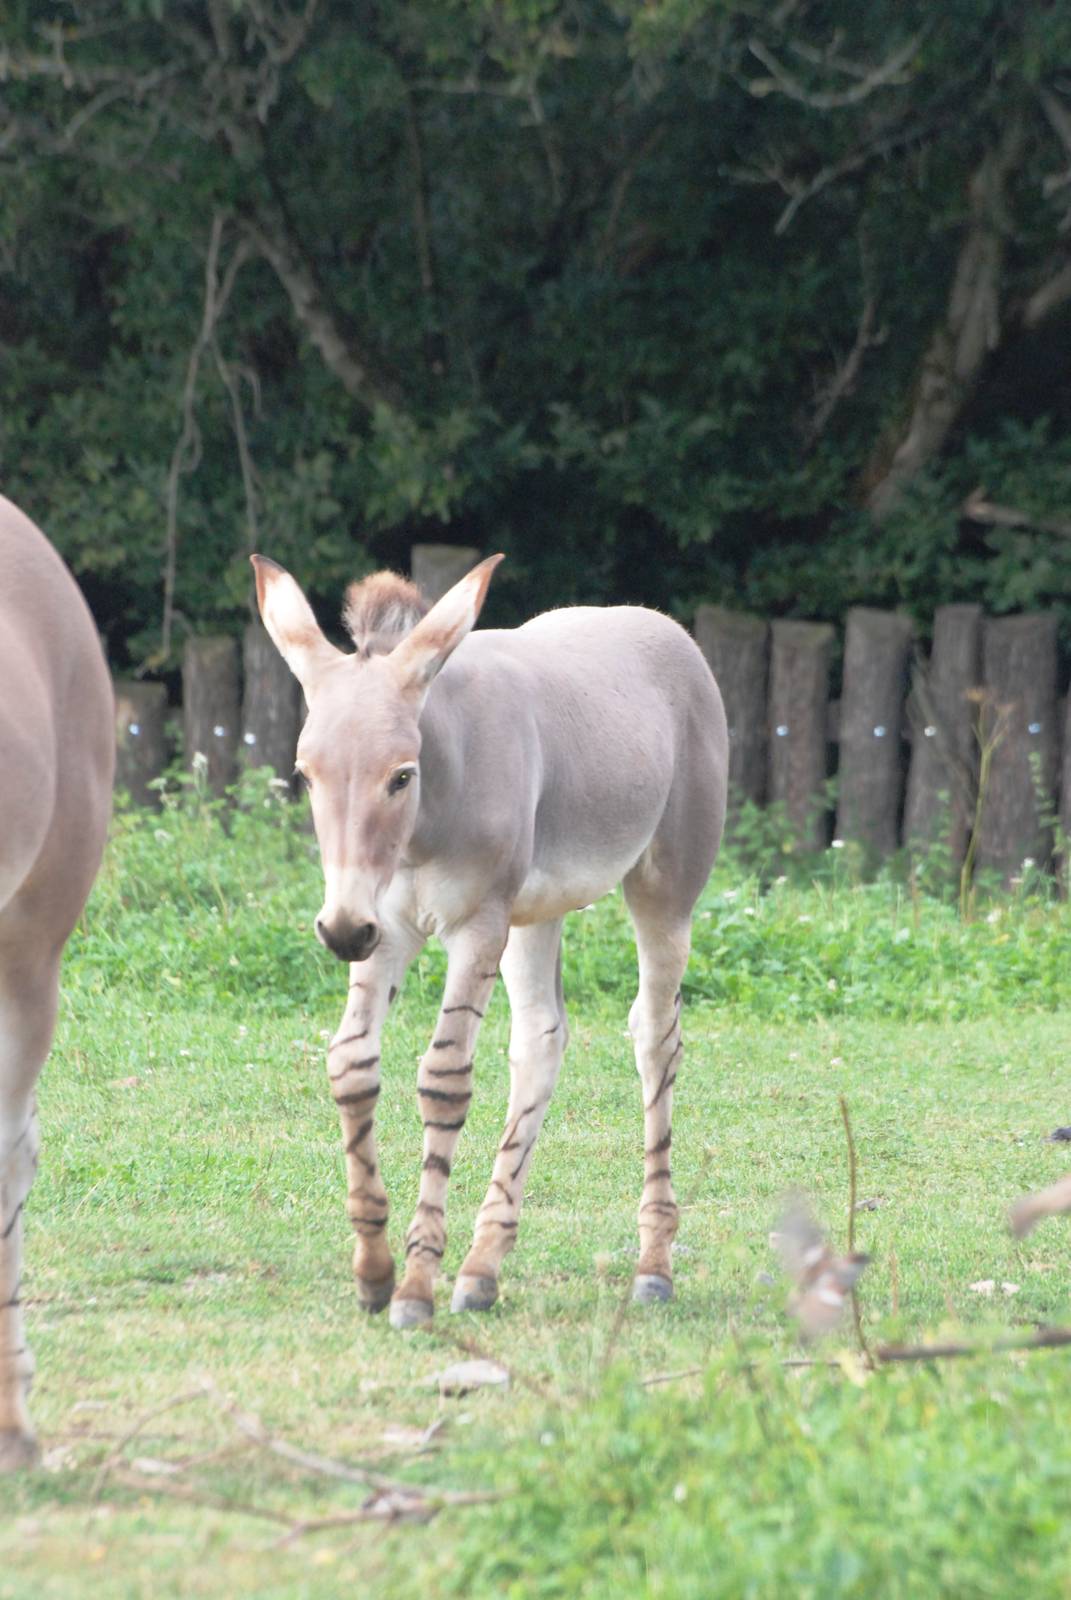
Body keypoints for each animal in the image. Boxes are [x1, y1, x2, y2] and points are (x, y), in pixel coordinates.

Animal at [253, 552, 726, 1328]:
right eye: (305, 776)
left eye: (400, 776)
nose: (340, 932)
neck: (428, 816)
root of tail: (652, 620)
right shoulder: (388, 927)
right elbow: (352, 1065)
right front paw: (375, 1270)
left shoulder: (474, 925)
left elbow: (444, 1080)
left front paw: (415, 1286)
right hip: (531, 917)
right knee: (541, 1039)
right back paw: (481, 1269)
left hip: (665, 889)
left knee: (657, 1039)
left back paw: (652, 1268)